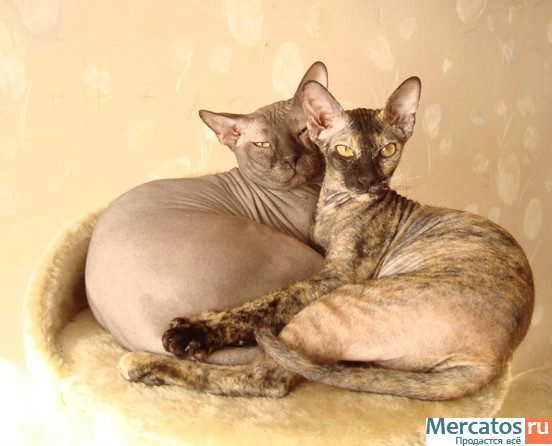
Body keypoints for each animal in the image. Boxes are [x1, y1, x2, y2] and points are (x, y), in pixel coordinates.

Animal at [120, 77, 534, 400]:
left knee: (266, 377)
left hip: (340, 302)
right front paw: (206, 320)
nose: (367, 182)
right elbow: (266, 301)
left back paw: (146, 362)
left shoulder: (337, 275)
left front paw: (197, 333)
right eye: (344, 150)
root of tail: (496, 360)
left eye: (388, 150)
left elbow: (272, 301)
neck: (334, 205)